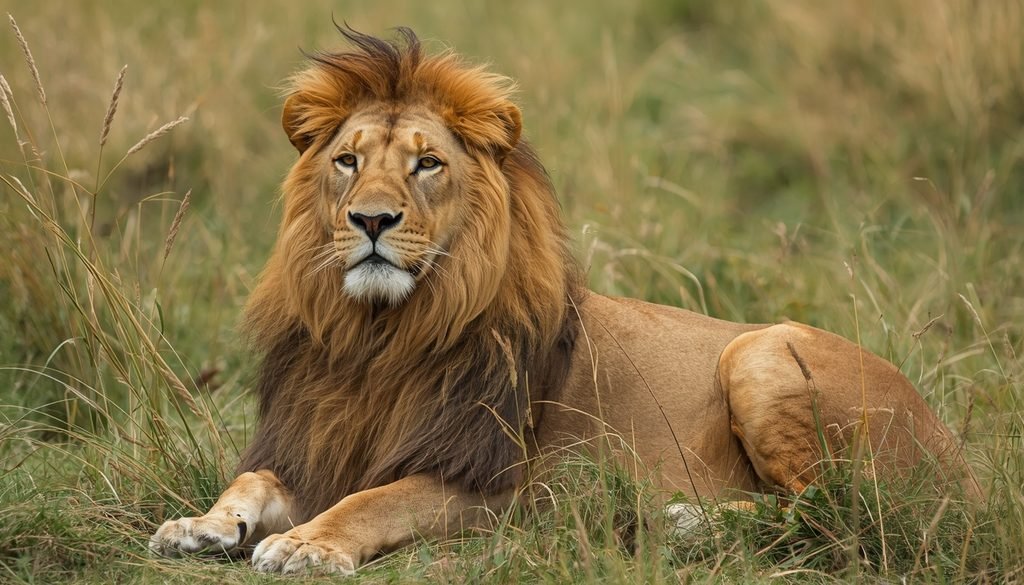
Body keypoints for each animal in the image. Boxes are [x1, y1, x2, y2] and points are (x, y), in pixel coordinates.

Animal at [149, 26, 979, 574]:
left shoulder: (496, 484)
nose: (371, 220)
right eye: (348, 161)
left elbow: (373, 501)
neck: (378, 335)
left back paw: (684, 521)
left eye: (427, 164)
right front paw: (199, 524)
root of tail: (960, 458)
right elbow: (252, 480)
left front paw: (306, 542)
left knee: (838, 510)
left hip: (761, 349)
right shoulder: (320, 442)